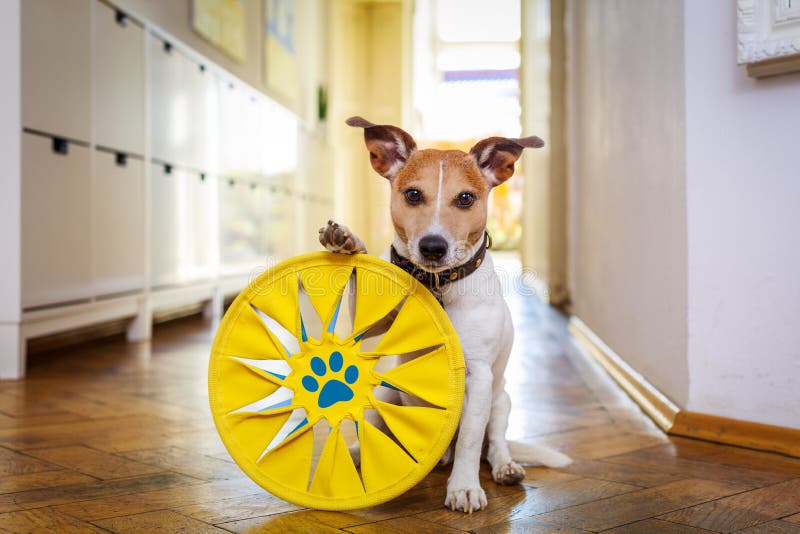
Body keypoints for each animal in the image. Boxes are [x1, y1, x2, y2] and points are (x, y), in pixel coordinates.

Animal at [316, 118, 572, 516]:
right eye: (413, 195)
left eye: (465, 198)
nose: (433, 247)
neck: (438, 284)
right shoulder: (374, 322)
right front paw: (346, 241)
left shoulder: (479, 377)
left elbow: (470, 439)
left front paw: (464, 488)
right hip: (385, 394)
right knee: (376, 431)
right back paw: (362, 455)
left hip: (501, 401)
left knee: (493, 443)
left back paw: (505, 466)